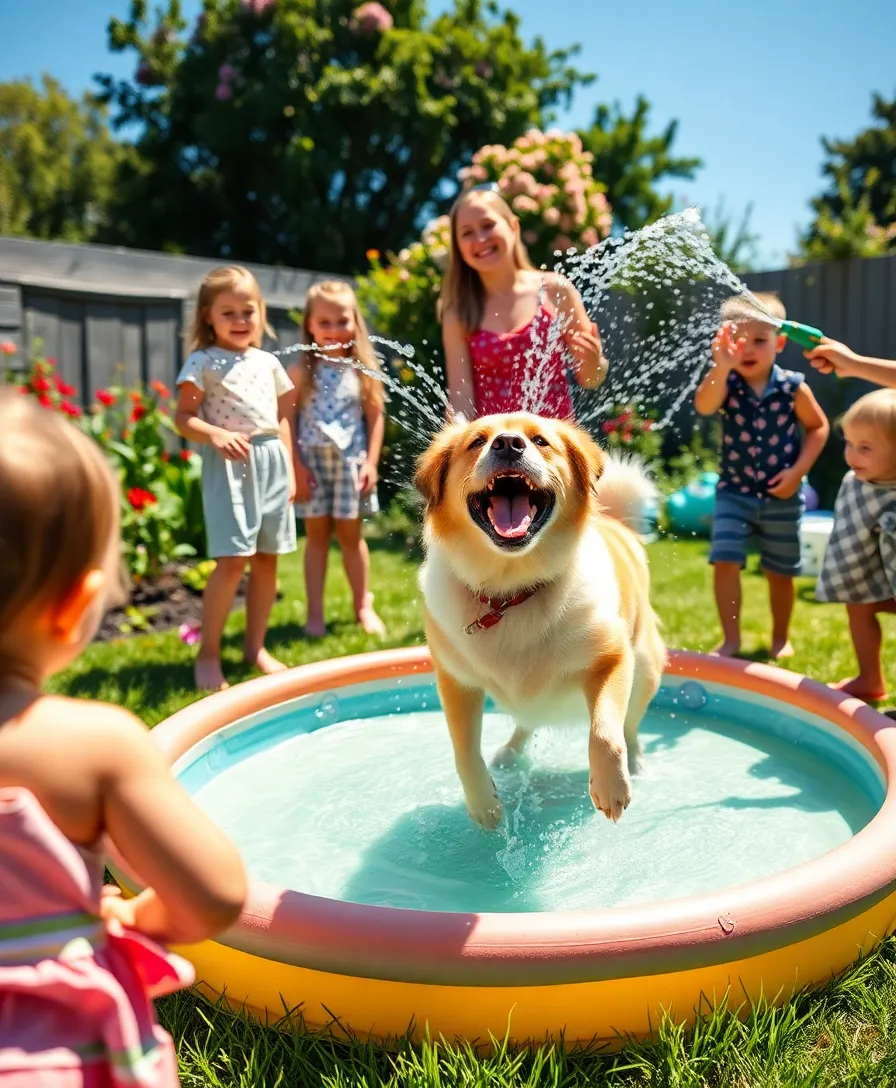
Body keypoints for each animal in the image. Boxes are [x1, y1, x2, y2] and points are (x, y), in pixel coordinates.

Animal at [413, 411, 665, 826]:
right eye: (477, 441)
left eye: (541, 441)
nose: (508, 443)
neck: (512, 591)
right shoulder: (456, 681)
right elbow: (463, 751)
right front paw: (483, 804)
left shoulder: (611, 658)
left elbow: (605, 731)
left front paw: (611, 784)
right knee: (526, 721)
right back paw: (510, 752)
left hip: (645, 669)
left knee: (629, 726)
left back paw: (638, 763)